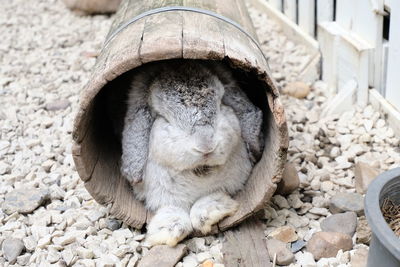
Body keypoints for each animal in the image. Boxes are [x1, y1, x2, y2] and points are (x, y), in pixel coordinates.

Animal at [122, 60, 266, 247]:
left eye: (221, 104)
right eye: (163, 117)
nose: (206, 146)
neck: (200, 170)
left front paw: (209, 213)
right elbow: (172, 209)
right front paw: (168, 232)